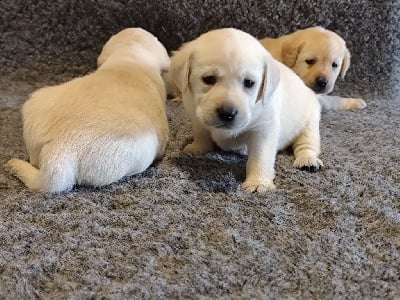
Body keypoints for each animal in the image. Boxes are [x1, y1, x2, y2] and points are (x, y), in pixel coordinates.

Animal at [170, 27, 324, 192]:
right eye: (209, 79)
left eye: (249, 82)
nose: (227, 113)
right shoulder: (196, 114)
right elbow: (201, 133)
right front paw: (198, 148)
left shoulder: (264, 129)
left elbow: (260, 156)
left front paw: (258, 182)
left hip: (309, 121)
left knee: (306, 143)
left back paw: (307, 160)